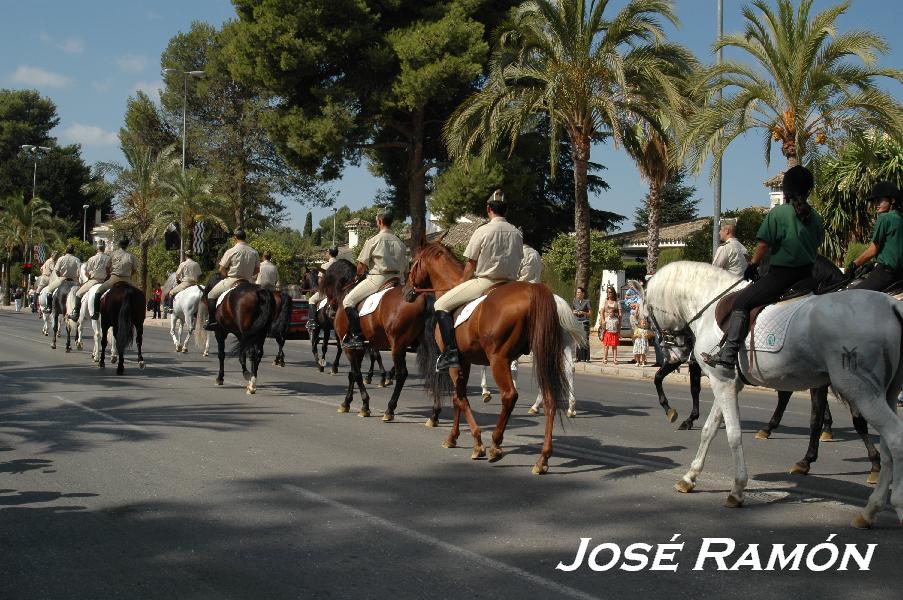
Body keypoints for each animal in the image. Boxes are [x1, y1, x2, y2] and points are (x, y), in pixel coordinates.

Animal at [322, 258, 448, 422]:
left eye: (326, 285)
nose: (329, 311)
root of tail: (423, 296)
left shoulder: (349, 348)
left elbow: (356, 374)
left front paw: (364, 405)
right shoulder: (359, 348)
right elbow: (352, 374)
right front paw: (347, 402)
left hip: (398, 345)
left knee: (402, 374)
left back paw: (390, 409)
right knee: (435, 370)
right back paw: (434, 414)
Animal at [404, 241, 572, 476]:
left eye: (412, 262)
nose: (406, 292)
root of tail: (532, 290)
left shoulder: (456, 362)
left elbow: (460, 398)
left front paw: (475, 443)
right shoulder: (464, 361)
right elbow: (458, 398)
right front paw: (454, 438)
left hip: (498, 359)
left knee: (509, 396)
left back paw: (495, 444)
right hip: (542, 357)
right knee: (550, 399)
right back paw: (543, 458)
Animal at [648, 262, 903, 528]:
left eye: (647, 312)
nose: (675, 354)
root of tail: (892, 305)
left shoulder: (723, 383)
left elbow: (733, 434)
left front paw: (737, 489)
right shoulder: (725, 382)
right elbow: (709, 430)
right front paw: (690, 476)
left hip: (861, 391)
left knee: (895, 437)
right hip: (887, 392)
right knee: (887, 446)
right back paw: (871, 508)